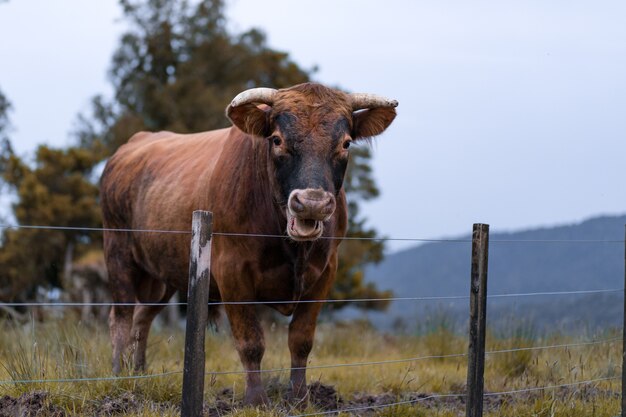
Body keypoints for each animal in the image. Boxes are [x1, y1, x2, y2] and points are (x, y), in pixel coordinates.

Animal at [101, 81, 394, 404]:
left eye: (345, 143)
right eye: (277, 139)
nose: (312, 203)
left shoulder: (325, 272)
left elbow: (301, 339)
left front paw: (299, 397)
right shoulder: (232, 271)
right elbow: (250, 340)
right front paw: (256, 399)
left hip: (163, 274)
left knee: (142, 318)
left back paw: (138, 373)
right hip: (118, 252)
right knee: (121, 317)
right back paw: (119, 375)